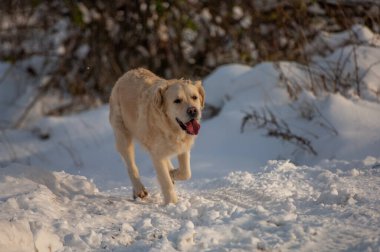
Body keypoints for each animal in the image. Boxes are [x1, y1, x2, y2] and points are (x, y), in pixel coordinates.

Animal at [109, 68, 205, 204]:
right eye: (177, 101)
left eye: (194, 97)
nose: (192, 110)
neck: (171, 128)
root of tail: (126, 74)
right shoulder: (156, 154)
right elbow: (166, 181)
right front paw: (172, 203)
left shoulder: (183, 147)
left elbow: (186, 172)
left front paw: (172, 173)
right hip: (123, 135)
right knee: (131, 166)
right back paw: (139, 190)